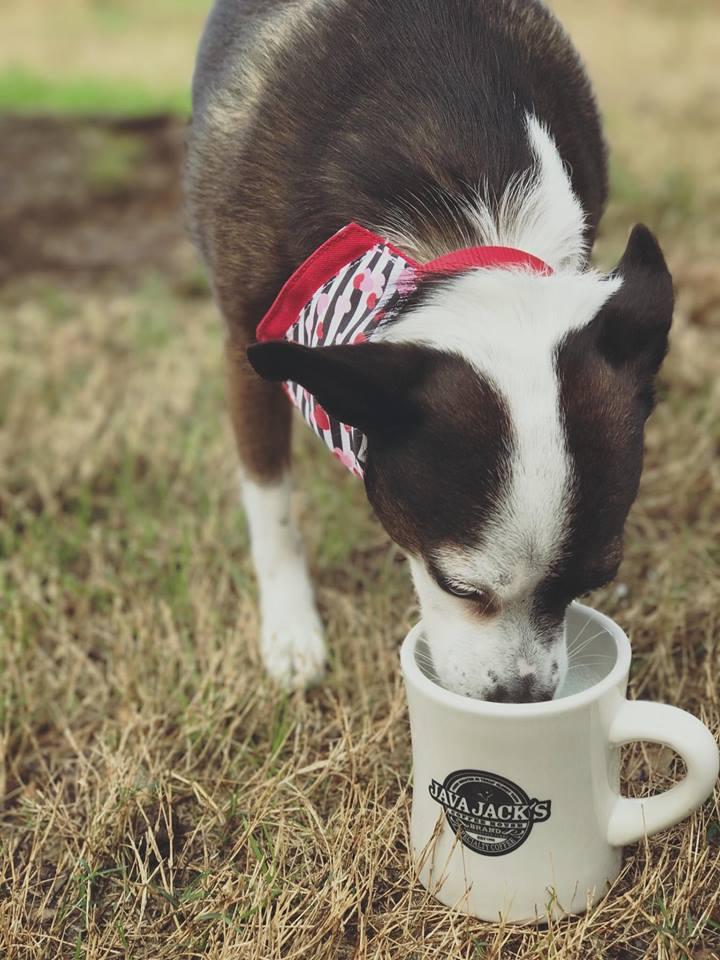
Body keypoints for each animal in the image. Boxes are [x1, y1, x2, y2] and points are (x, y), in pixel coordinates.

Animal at [184, 0, 668, 704]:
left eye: (593, 584)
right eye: (457, 586)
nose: (521, 696)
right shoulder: (246, 344)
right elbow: (269, 499)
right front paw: (291, 629)